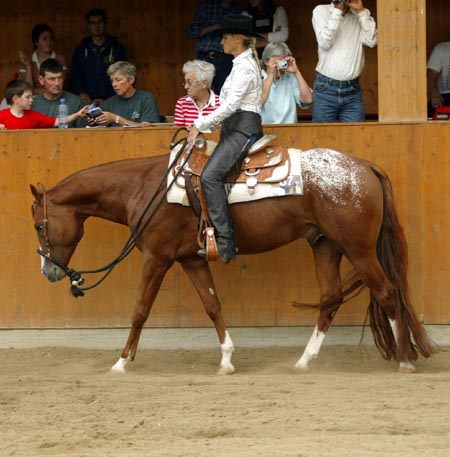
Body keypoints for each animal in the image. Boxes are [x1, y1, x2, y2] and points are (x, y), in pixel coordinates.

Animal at [29, 148, 436, 372]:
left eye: (38, 225)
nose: (49, 271)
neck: (146, 188)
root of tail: (364, 166)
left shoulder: (156, 258)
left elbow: (140, 310)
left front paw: (121, 362)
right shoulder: (190, 260)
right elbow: (212, 304)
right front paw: (226, 359)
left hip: (358, 248)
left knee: (387, 292)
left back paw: (404, 359)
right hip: (326, 245)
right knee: (331, 299)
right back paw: (304, 361)